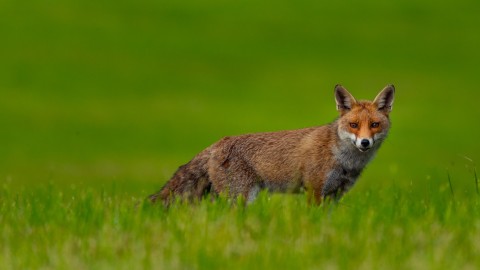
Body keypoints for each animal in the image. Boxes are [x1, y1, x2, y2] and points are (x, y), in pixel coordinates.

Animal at [149, 84, 394, 205]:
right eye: (354, 125)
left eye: (374, 125)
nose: (364, 142)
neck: (344, 160)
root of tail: (218, 142)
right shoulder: (314, 190)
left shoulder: (335, 194)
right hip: (241, 198)